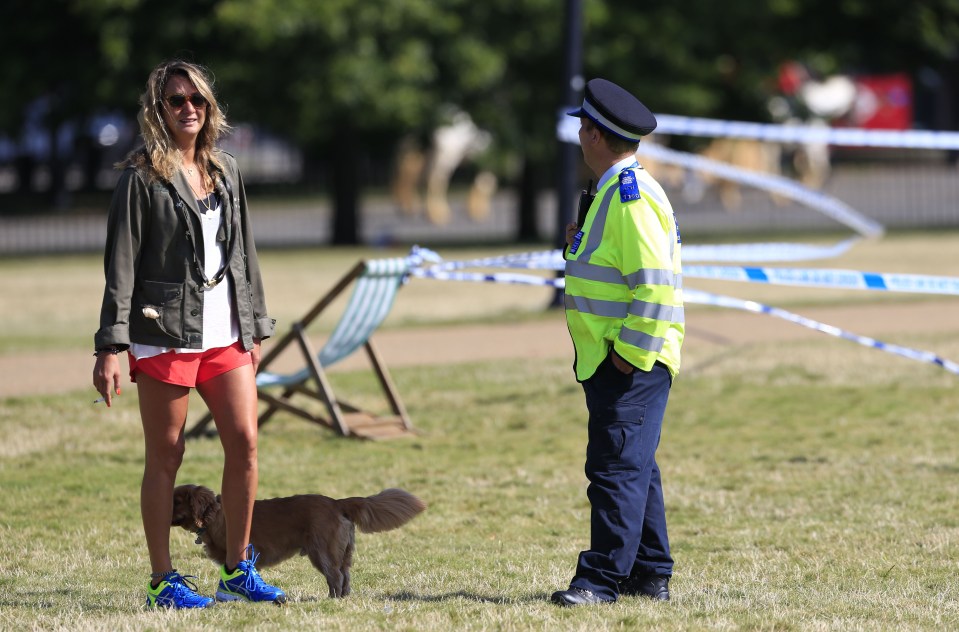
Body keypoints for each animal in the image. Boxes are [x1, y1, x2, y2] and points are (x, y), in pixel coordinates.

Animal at [172, 484, 428, 596]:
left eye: (177, 501)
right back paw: (342, 598)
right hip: (340, 553)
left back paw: (332, 599)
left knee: (335, 577)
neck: (214, 515)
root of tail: (337, 503)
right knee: (345, 576)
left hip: (322, 552)